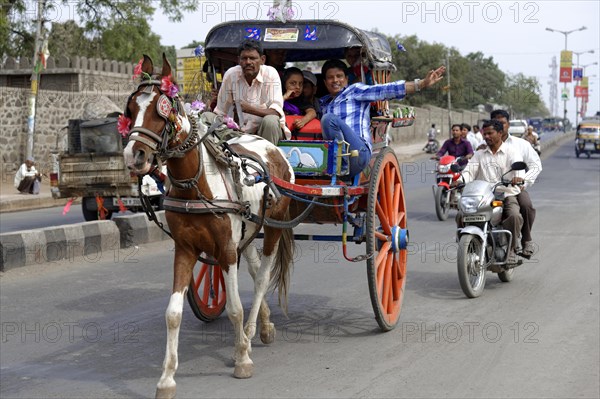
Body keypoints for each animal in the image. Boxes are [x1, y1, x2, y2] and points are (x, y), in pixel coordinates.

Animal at [123, 54, 296, 399]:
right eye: (131, 108)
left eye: (162, 109)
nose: (134, 155)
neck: (195, 183)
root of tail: (272, 148)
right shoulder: (185, 249)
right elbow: (173, 314)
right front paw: (166, 379)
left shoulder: (226, 250)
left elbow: (234, 308)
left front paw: (242, 358)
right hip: (248, 229)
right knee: (255, 267)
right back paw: (262, 326)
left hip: (273, 226)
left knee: (261, 277)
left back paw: (251, 333)